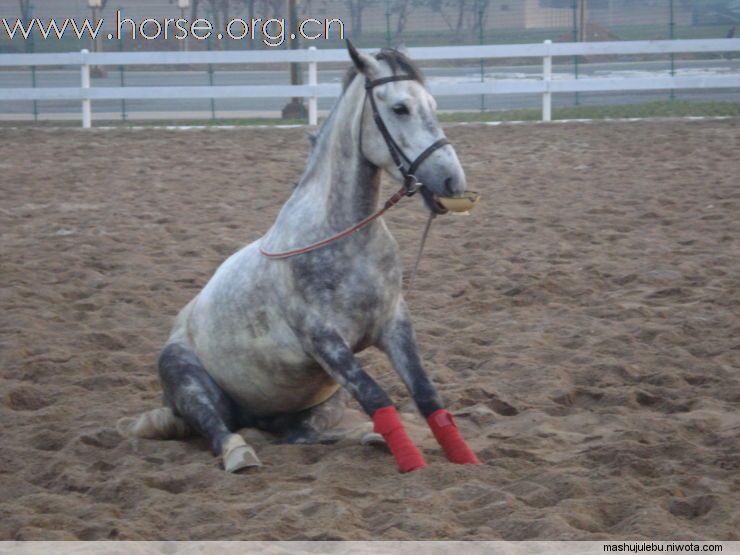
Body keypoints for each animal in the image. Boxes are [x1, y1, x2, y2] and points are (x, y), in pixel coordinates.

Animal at [121, 41, 480, 474]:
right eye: (399, 108)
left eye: (433, 104)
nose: (452, 182)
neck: (343, 239)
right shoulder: (324, 341)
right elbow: (377, 396)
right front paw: (412, 463)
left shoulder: (393, 325)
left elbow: (426, 395)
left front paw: (463, 456)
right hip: (189, 381)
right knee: (218, 428)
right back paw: (240, 453)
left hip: (326, 398)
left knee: (303, 434)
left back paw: (371, 438)